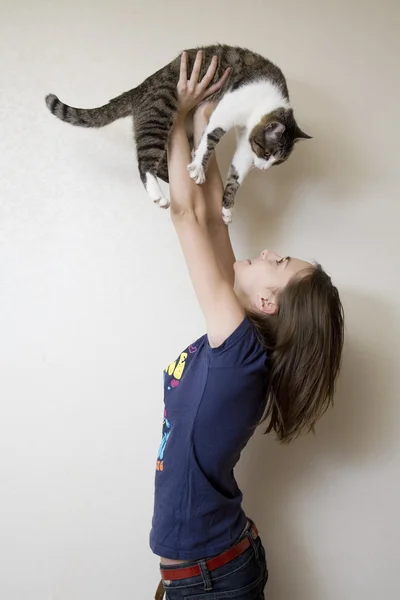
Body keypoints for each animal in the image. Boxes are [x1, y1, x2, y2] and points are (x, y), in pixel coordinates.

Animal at [45, 44, 310, 223]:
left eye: (276, 162)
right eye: (266, 152)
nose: (263, 169)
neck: (268, 101)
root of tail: (140, 88)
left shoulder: (247, 141)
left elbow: (237, 175)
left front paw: (227, 208)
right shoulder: (229, 107)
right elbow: (211, 137)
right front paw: (200, 167)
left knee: (163, 163)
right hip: (159, 117)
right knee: (145, 164)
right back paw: (159, 195)